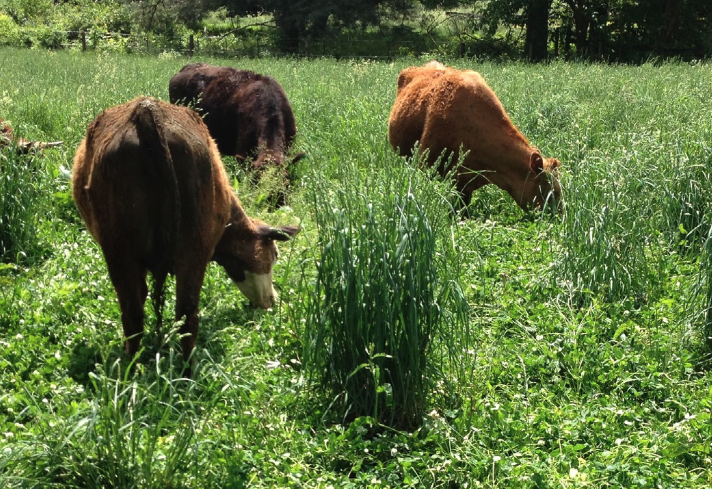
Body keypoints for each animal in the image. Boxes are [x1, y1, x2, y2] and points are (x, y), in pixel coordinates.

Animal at [70, 97, 298, 368]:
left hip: (123, 250)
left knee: (141, 313)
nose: (272, 300)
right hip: (184, 249)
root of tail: (146, 112)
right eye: (275, 255)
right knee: (181, 314)